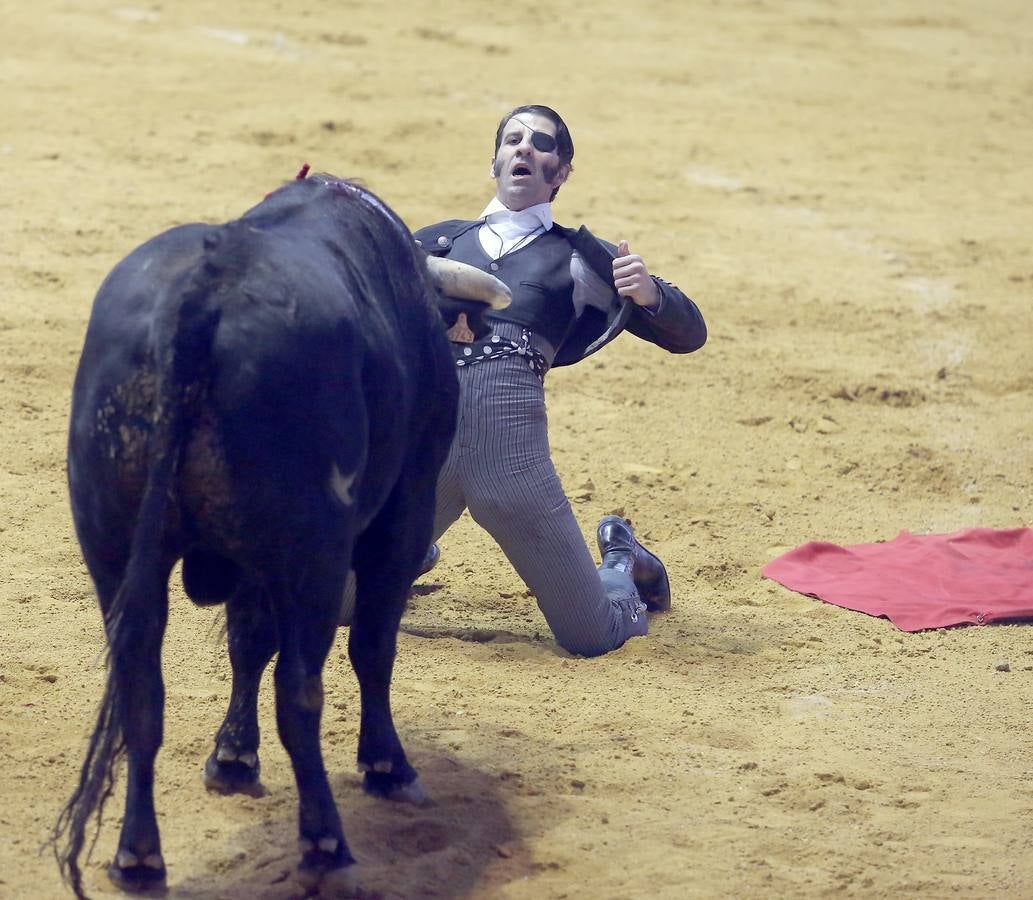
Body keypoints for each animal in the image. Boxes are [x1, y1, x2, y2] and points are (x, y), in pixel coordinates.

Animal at [51, 174, 464, 892]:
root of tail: (204, 291)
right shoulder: (403, 513)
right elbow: (370, 646)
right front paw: (388, 767)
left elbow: (246, 643)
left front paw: (232, 759)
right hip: (314, 556)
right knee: (300, 690)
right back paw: (325, 843)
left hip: (113, 548)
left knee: (140, 691)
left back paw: (139, 857)